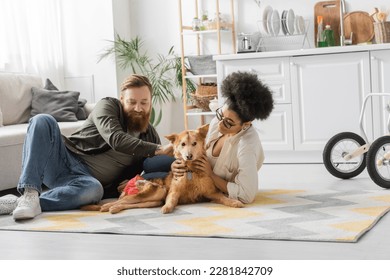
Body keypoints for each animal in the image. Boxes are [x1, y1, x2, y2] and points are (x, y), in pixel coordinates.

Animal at [82, 123, 244, 213]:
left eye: (195, 143)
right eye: (183, 144)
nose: (188, 156)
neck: (190, 171)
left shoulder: (211, 193)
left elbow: (224, 198)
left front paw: (234, 202)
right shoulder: (173, 191)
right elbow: (171, 200)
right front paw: (167, 208)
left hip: (155, 198)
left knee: (127, 204)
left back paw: (111, 208)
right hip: (155, 192)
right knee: (121, 201)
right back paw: (106, 206)